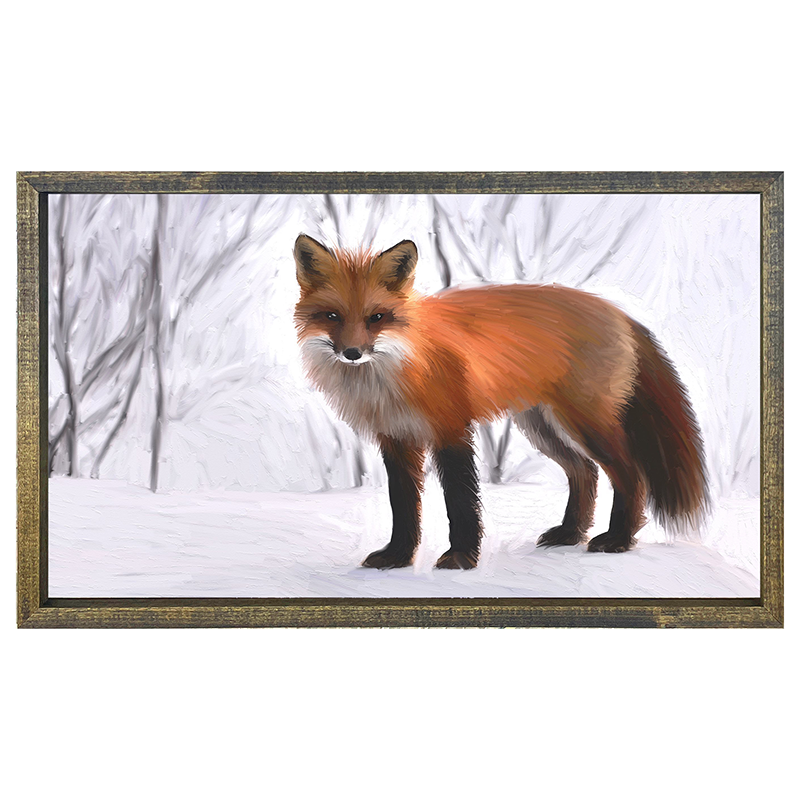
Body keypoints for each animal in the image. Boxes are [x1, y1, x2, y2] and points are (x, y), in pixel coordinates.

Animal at [293, 233, 708, 570]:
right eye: (332, 316)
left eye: (377, 317)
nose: (352, 353)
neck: (396, 372)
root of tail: (617, 311)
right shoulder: (396, 439)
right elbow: (404, 505)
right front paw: (397, 557)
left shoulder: (451, 429)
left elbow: (461, 500)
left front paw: (461, 558)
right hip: (542, 427)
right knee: (584, 472)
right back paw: (570, 534)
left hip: (586, 423)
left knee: (629, 474)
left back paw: (618, 540)